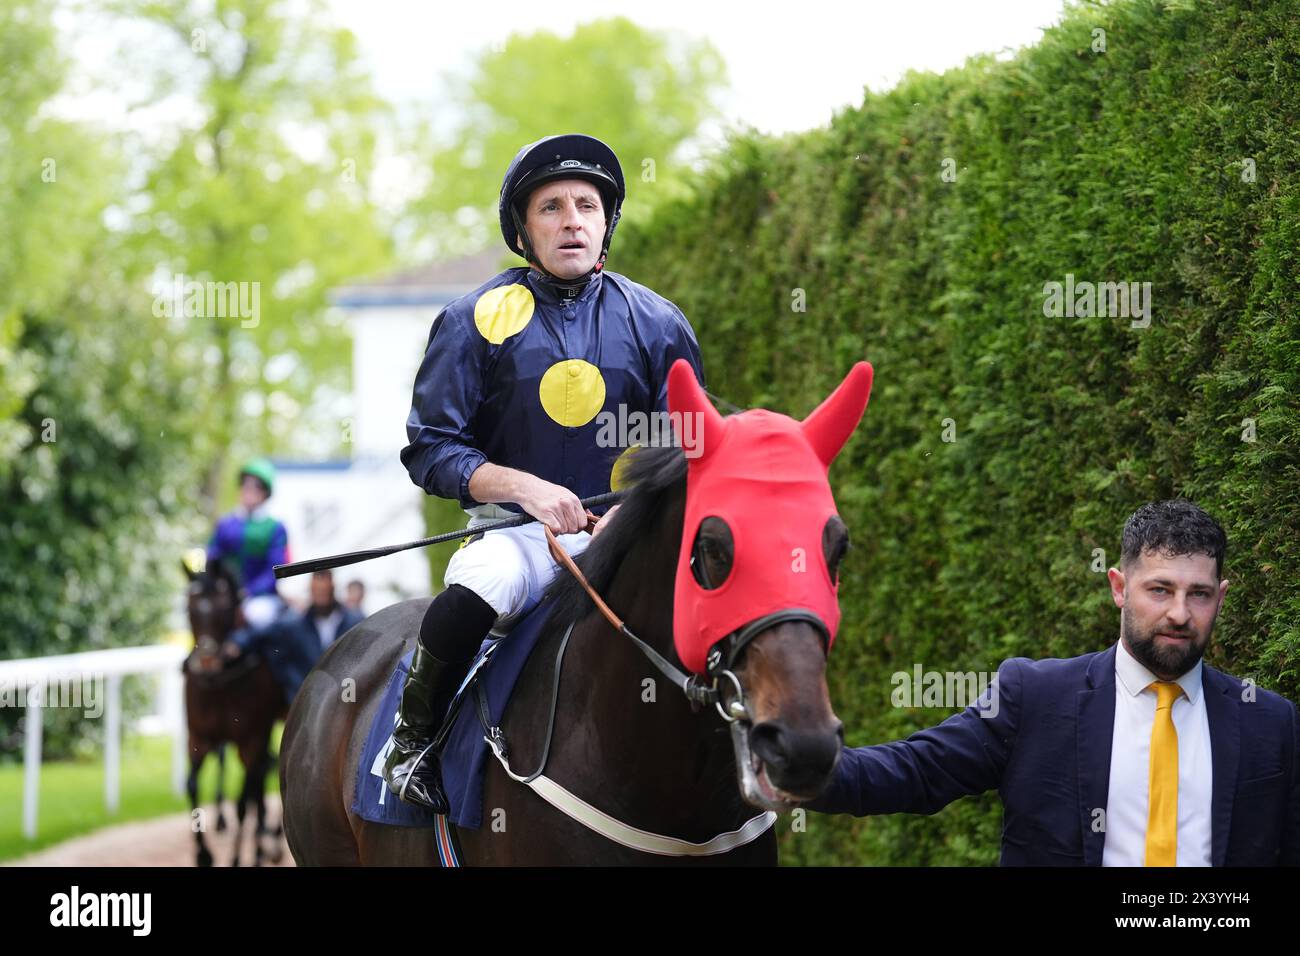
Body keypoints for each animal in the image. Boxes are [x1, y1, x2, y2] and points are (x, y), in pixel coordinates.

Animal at [180, 561, 284, 868]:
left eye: (224, 607)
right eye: (189, 608)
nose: (207, 661)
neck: (220, 683)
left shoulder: (251, 738)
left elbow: (241, 801)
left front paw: (238, 858)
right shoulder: (198, 738)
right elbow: (191, 785)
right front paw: (204, 854)